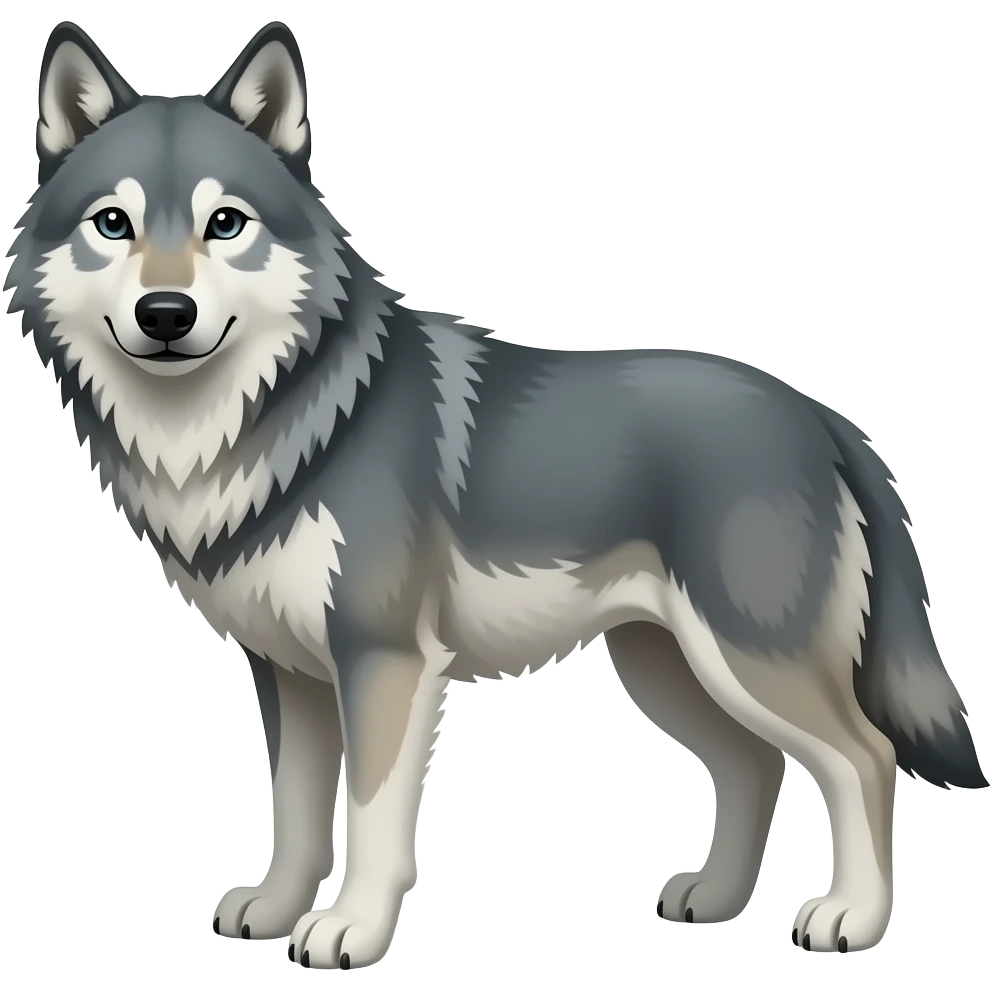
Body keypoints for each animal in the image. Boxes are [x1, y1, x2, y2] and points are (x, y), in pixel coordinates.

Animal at [6, 17, 987, 970]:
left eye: (225, 222)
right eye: (112, 222)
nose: (165, 314)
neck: (274, 420)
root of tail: (823, 417)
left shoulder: (386, 663)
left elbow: (371, 818)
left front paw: (350, 931)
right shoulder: (288, 671)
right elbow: (297, 812)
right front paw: (278, 910)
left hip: (745, 659)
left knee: (864, 757)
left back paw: (850, 919)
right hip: (667, 668)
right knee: (755, 766)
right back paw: (713, 900)